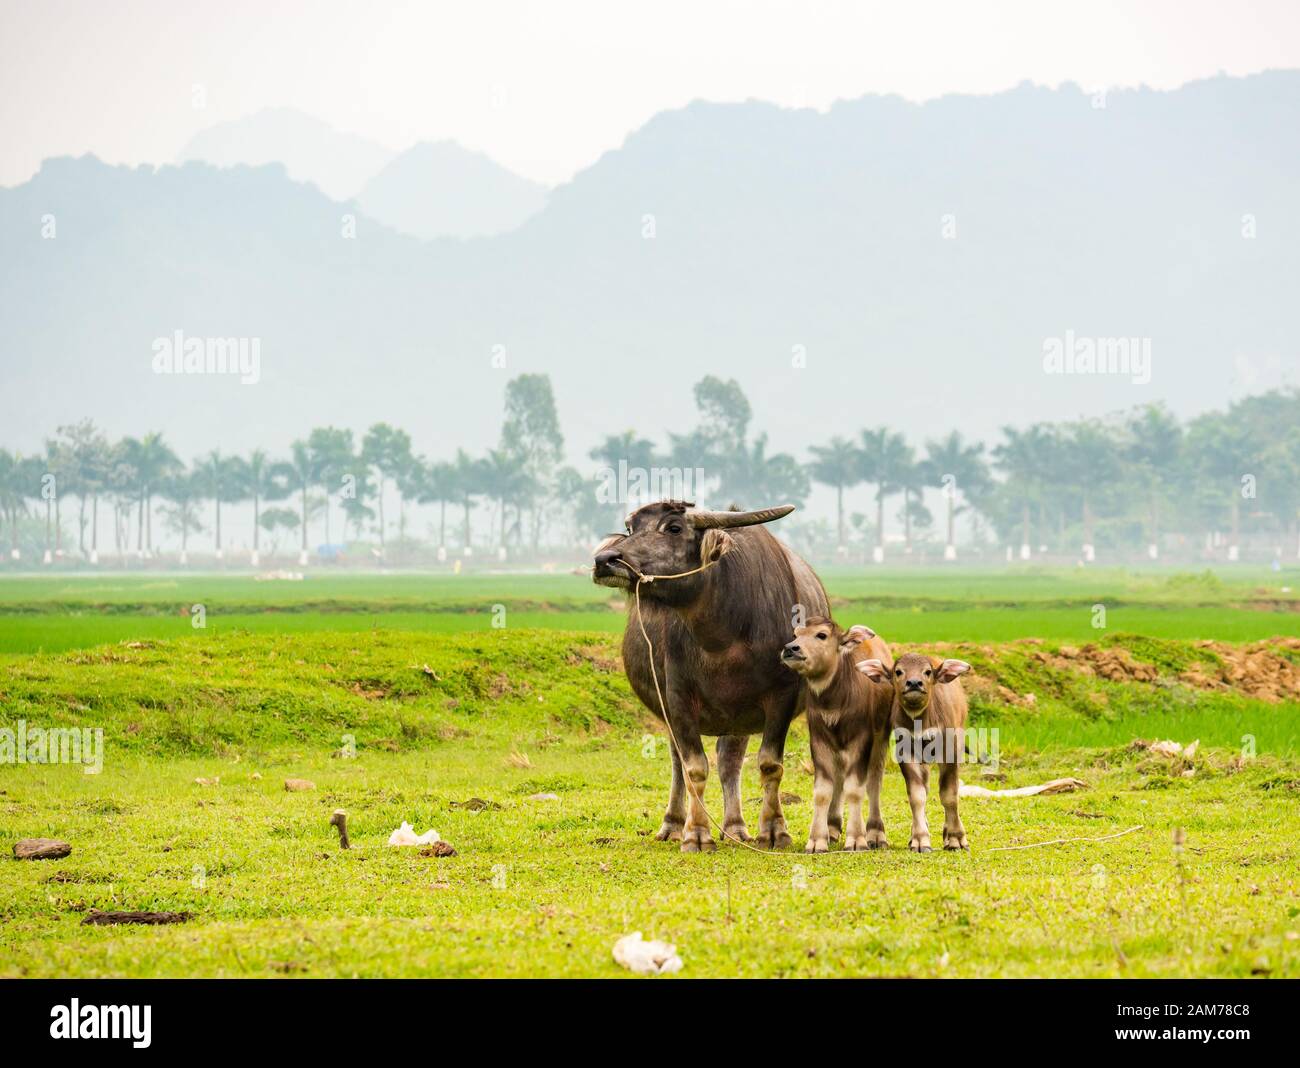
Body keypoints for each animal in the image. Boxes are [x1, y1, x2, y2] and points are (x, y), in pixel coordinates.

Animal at [595, 501, 826, 852]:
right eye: (631, 528)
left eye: (674, 527)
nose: (604, 560)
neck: (724, 634)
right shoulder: (677, 697)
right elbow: (694, 767)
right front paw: (696, 834)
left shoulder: (781, 696)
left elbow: (769, 763)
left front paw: (775, 831)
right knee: (679, 762)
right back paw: (673, 825)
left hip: (738, 716)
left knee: (730, 761)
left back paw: (735, 828)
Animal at [780, 618, 894, 852]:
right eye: (796, 634)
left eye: (821, 635)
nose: (790, 649)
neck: (833, 703)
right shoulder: (819, 740)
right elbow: (823, 791)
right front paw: (817, 839)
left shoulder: (861, 739)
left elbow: (855, 789)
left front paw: (857, 838)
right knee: (840, 778)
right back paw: (831, 827)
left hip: (881, 737)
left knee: (874, 781)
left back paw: (875, 833)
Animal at [857, 652, 972, 852]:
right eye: (898, 671)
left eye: (927, 671)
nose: (914, 683)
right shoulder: (906, 752)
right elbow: (917, 796)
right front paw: (919, 839)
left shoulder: (949, 749)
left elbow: (949, 794)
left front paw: (956, 838)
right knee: (924, 788)